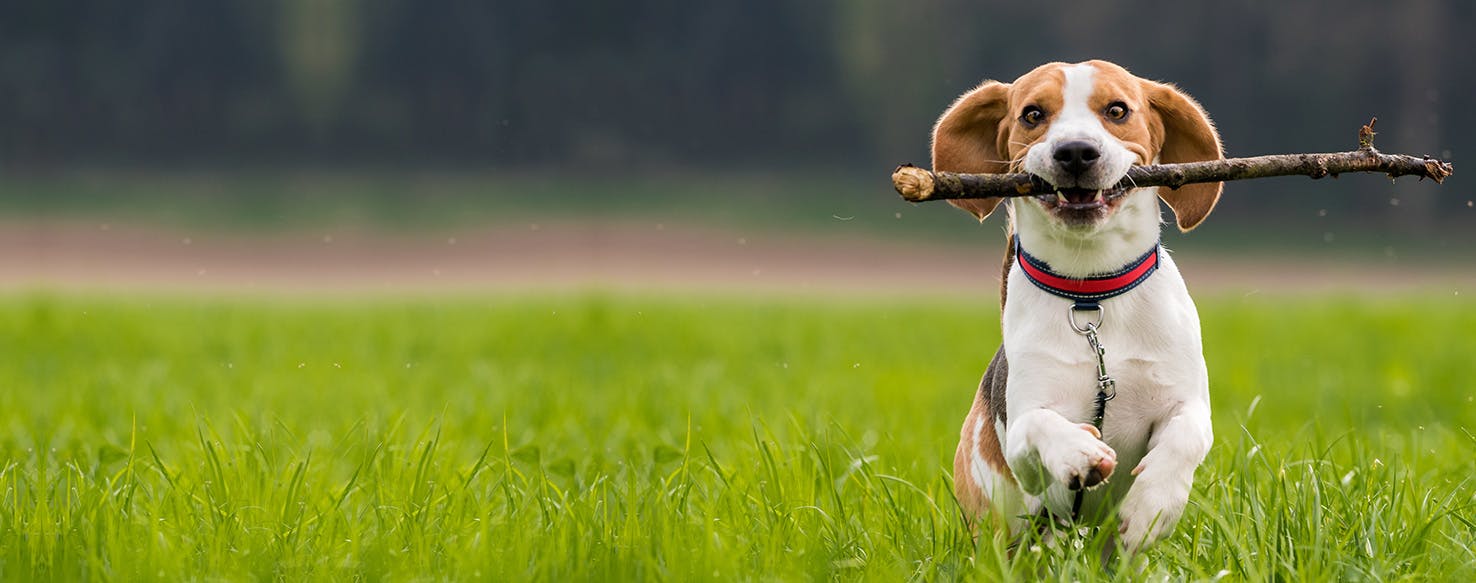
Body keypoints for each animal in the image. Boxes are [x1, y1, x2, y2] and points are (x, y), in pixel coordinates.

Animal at [944, 61, 1222, 554]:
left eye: (1117, 110)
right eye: (1033, 114)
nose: (1075, 151)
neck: (1091, 296)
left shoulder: (1186, 401)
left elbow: (1186, 437)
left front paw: (1152, 507)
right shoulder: (1022, 439)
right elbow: (1040, 425)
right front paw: (1079, 451)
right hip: (999, 525)